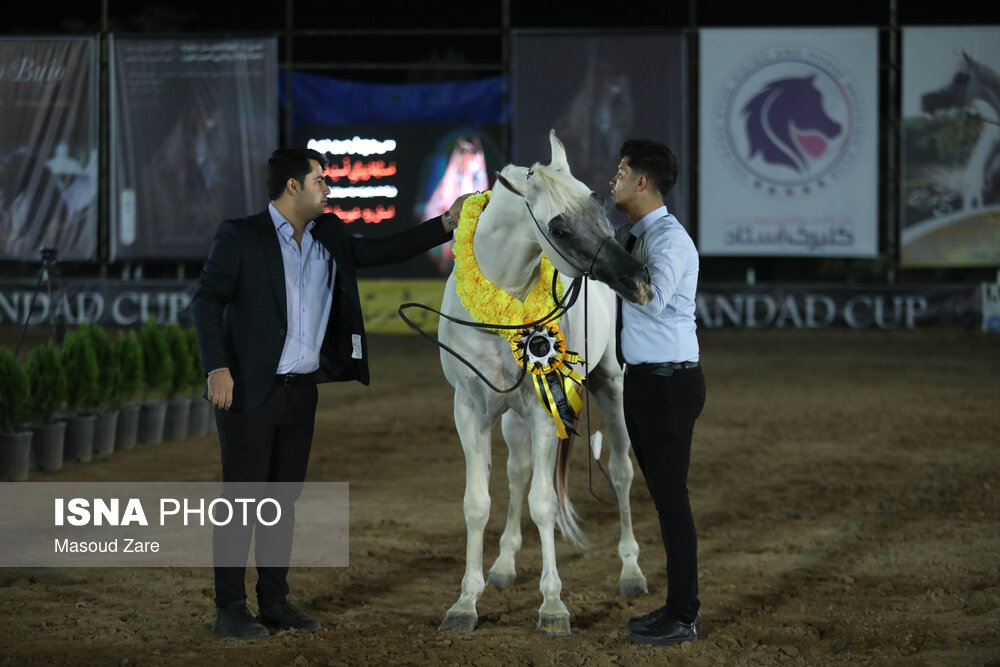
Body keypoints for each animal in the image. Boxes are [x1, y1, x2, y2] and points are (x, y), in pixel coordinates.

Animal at [436, 130, 648, 636]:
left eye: (601, 207)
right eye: (561, 229)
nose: (636, 278)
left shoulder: (541, 412)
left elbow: (544, 504)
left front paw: (552, 606)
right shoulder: (470, 411)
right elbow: (479, 503)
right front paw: (465, 602)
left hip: (609, 384)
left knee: (619, 471)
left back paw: (631, 571)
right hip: (510, 418)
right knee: (518, 472)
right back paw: (504, 565)